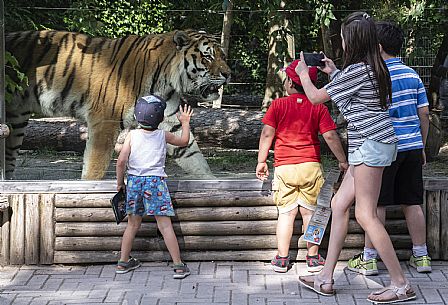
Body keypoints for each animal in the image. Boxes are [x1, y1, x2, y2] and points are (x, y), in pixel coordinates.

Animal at [5, 29, 231, 178]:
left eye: (223, 55)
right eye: (208, 56)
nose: (228, 74)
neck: (167, 82)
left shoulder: (170, 121)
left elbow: (194, 156)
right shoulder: (104, 121)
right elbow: (95, 166)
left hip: (16, 122)